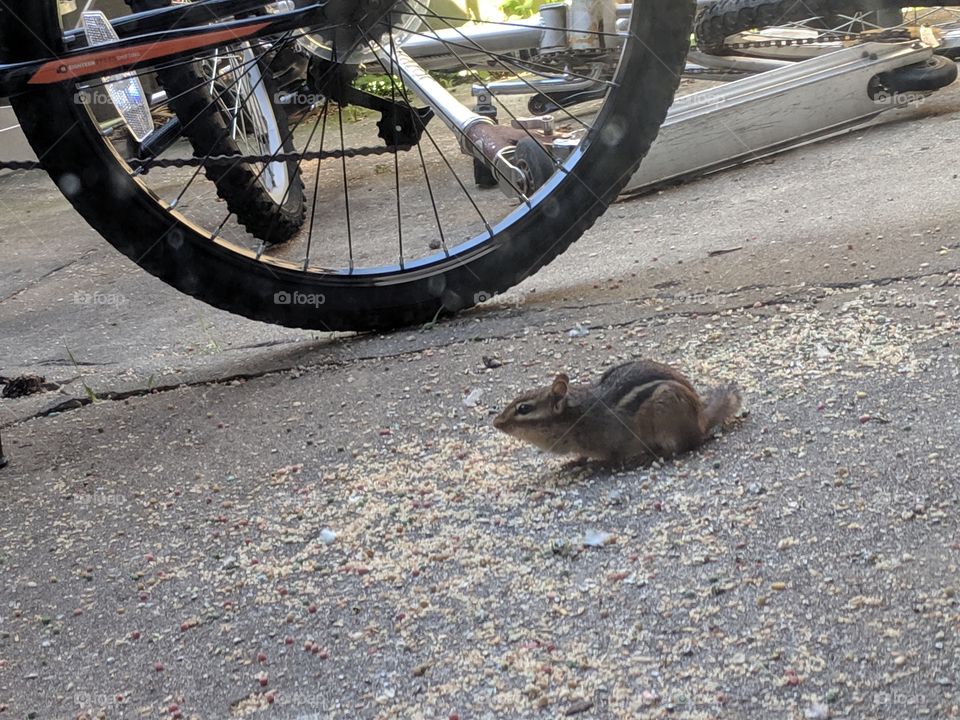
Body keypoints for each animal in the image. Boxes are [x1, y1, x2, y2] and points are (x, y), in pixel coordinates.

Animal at [493, 360, 741, 465]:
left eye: (523, 408)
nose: (496, 422)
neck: (577, 418)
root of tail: (701, 418)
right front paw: (574, 462)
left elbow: (613, 456)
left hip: (666, 417)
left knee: (686, 444)